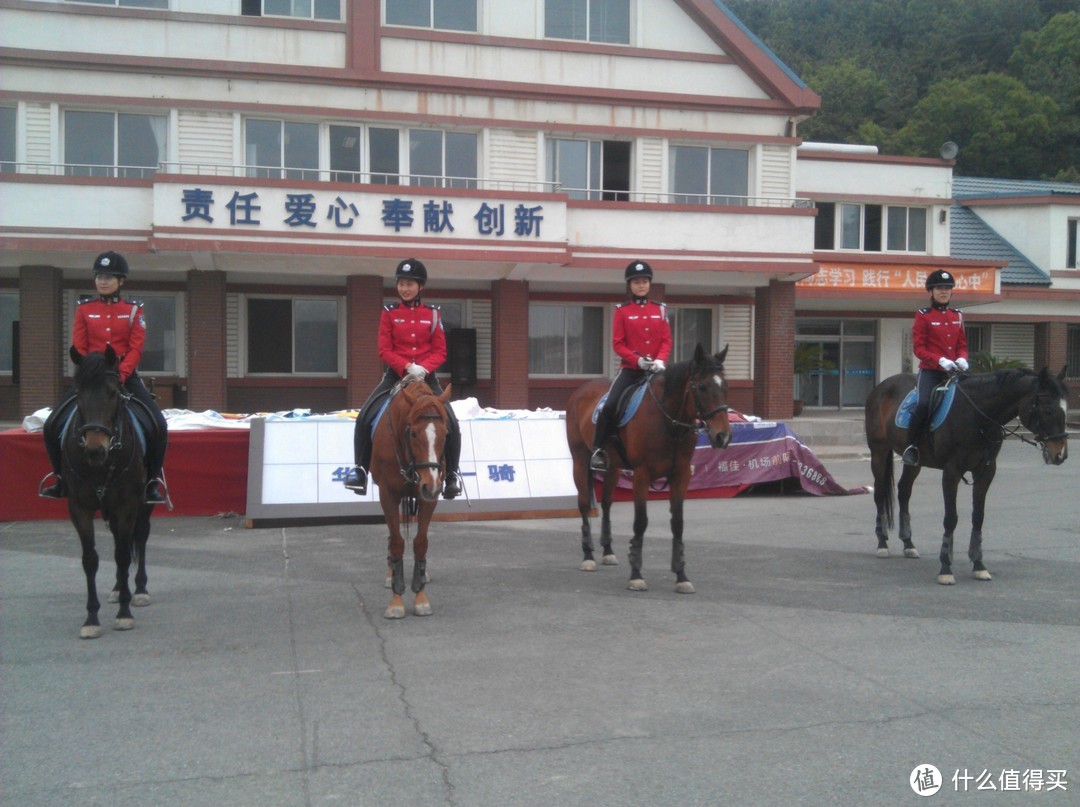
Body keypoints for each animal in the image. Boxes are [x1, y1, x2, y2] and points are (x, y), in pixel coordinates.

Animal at [58, 345, 153, 639]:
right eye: (78, 393)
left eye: (113, 393)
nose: (95, 449)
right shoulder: (78, 507)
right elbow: (90, 559)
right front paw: (91, 618)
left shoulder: (128, 505)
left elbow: (123, 555)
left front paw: (124, 613)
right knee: (117, 540)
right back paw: (117, 588)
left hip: (144, 503)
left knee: (139, 537)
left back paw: (139, 590)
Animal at [369, 378, 453, 617]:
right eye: (414, 433)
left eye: (446, 433)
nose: (431, 485)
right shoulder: (387, 495)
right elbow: (397, 542)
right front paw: (396, 600)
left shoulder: (428, 498)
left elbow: (420, 543)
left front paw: (421, 597)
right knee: (391, 536)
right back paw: (390, 575)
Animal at [565, 343, 734, 592]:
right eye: (702, 387)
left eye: (725, 386)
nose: (722, 436)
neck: (668, 421)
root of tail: (583, 389)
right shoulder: (642, 475)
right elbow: (640, 522)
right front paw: (636, 573)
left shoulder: (681, 475)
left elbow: (678, 523)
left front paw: (681, 575)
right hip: (580, 459)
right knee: (585, 503)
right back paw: (588, 556)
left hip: (613, 467)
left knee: (606, 503)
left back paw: (607, 551)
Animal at [864, 367, 1067, 587]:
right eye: (1048, 410)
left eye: (1065, 410)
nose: (1060, 455)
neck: (978, 417)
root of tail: (883, 385)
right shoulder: (951, 471)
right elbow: (951, 518)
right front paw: (945, 567)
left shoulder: (986, 472)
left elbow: (978, 517)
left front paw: (979, 565)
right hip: (879, 451)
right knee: (880, 493)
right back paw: (882, 543)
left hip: (914, 462)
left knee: (904, 492)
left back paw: (908, 544)